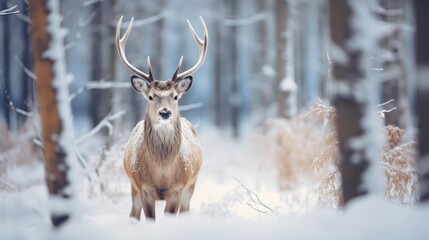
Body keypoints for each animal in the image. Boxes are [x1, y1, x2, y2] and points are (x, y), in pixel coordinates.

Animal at [113, 15, 207, 221]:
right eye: (150, 96)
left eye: (175, 96)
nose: (165, 112)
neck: (162, 175)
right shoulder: (144, 188)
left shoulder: (178, 189)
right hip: (132, 186)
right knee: (133, 215)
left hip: (192, 185)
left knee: (186, 211)